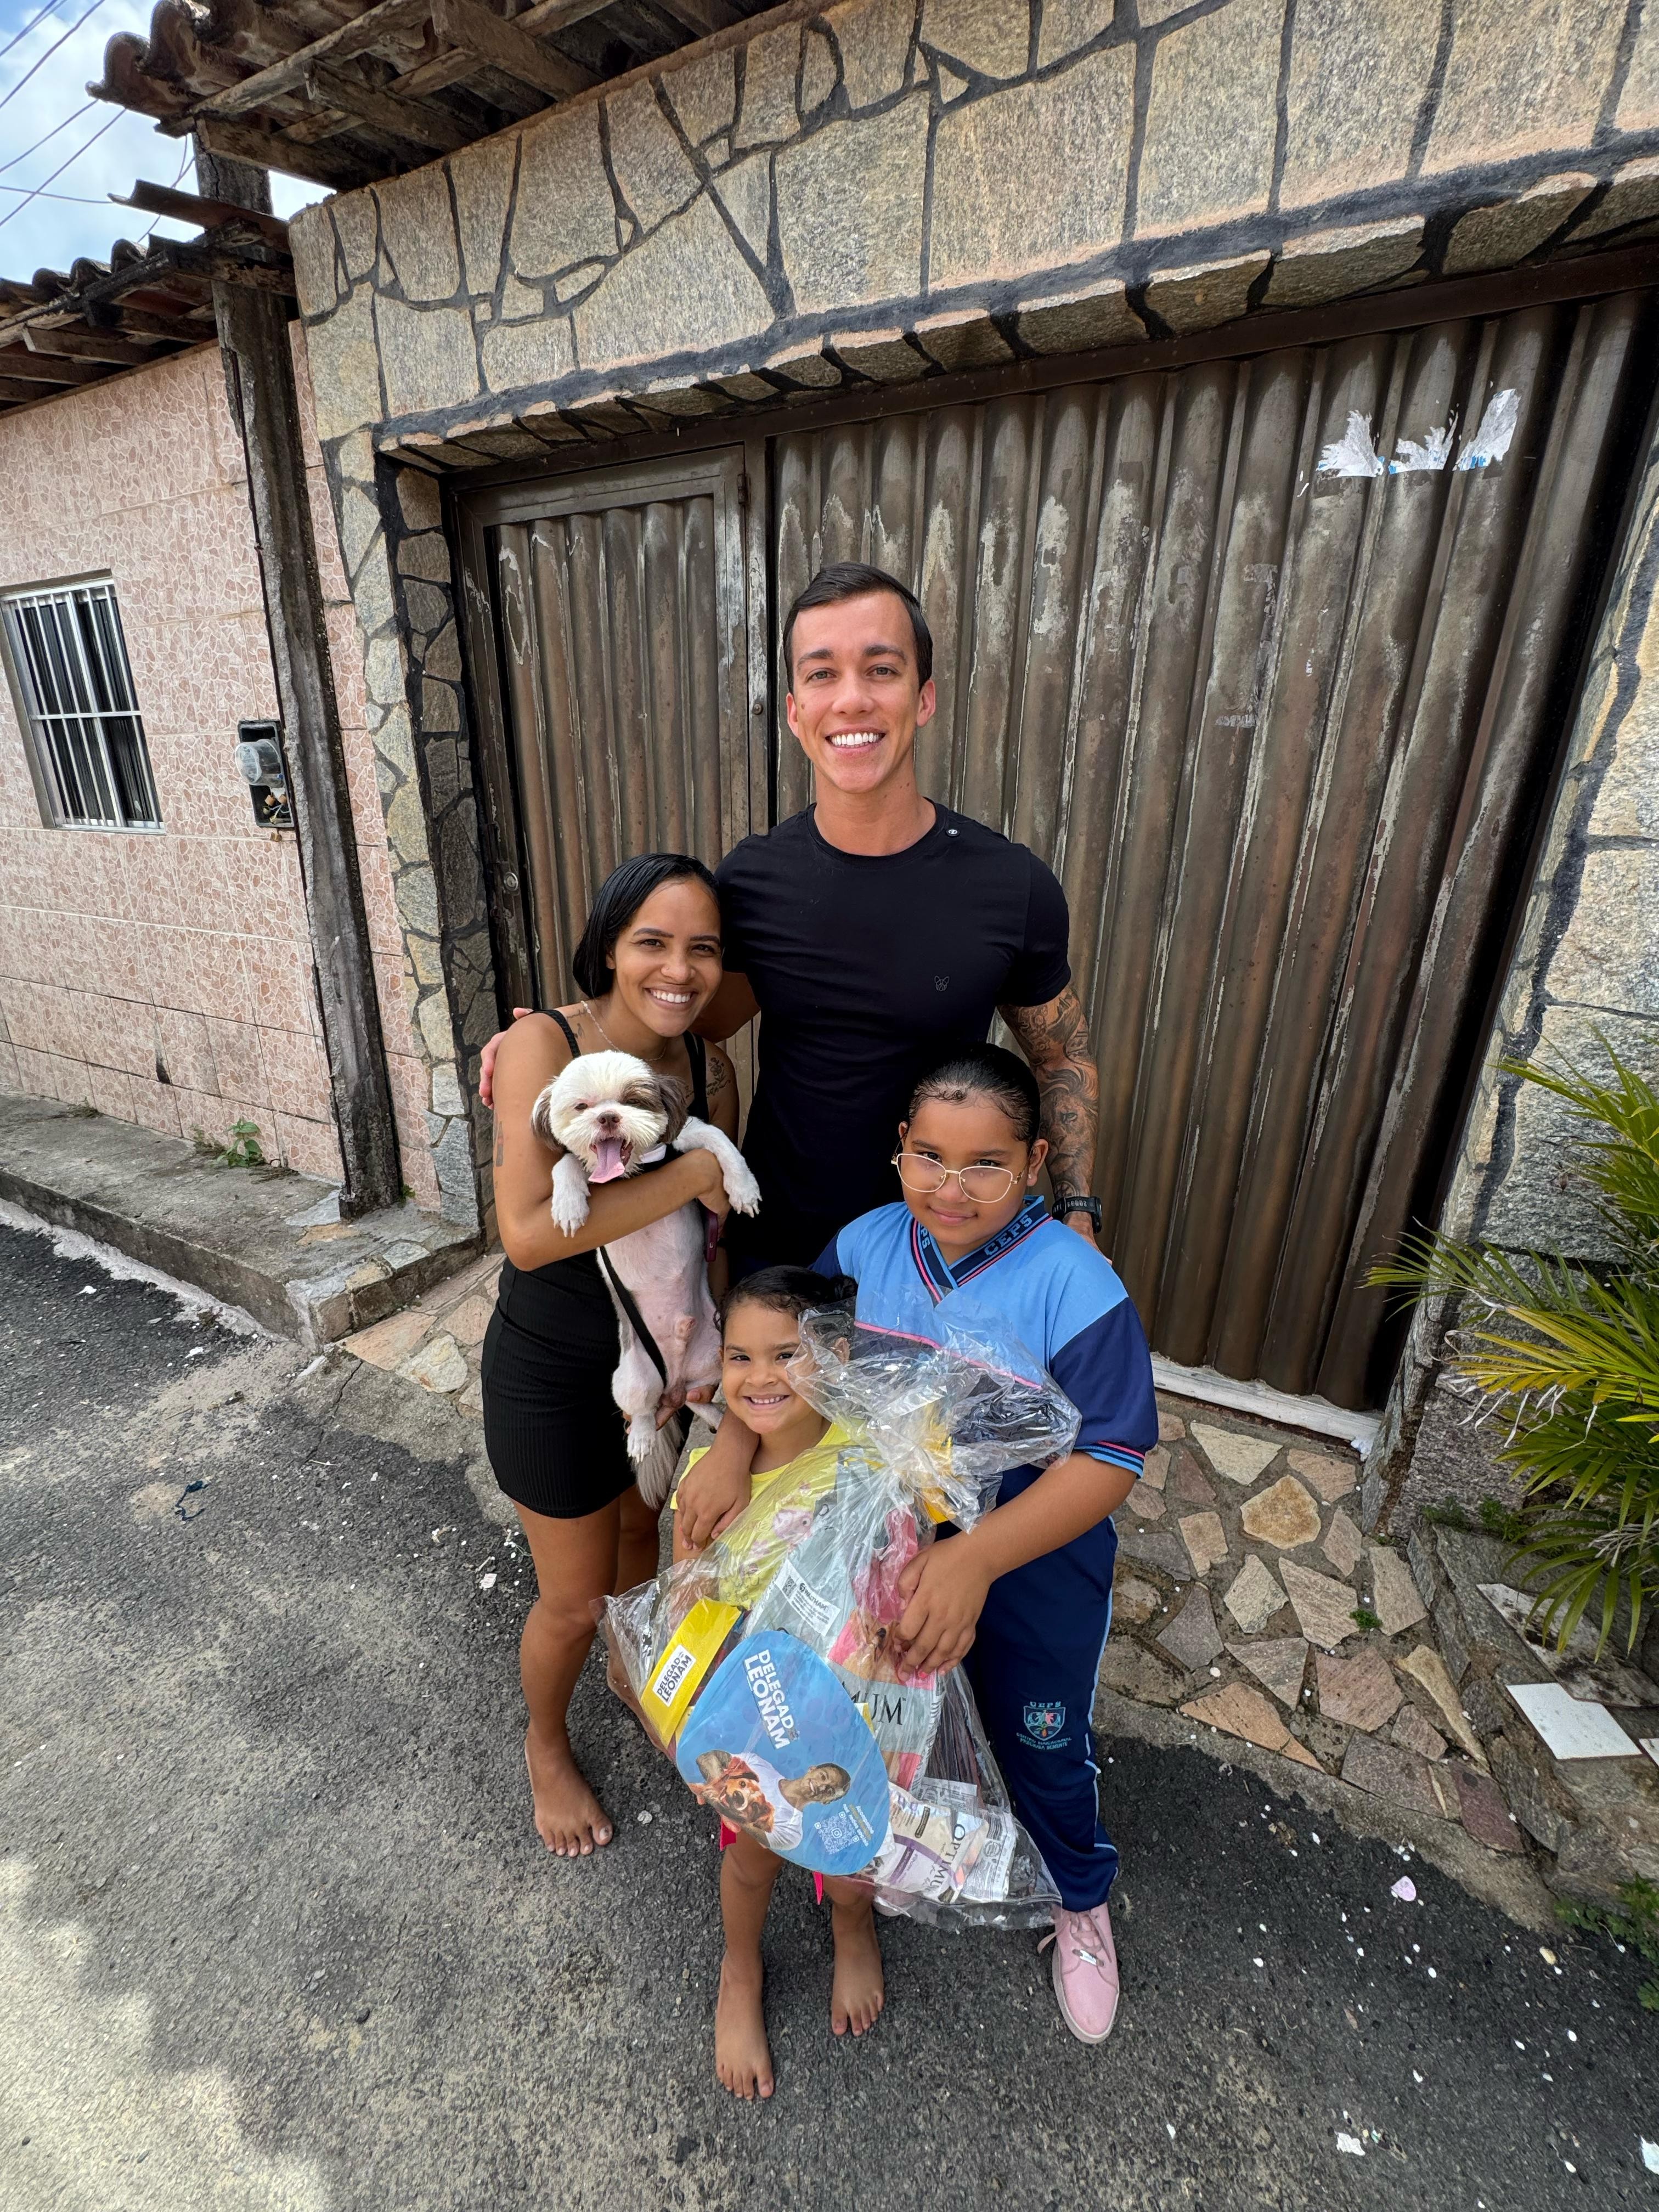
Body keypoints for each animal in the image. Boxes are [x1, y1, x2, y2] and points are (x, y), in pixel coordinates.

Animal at [535, 1048, 765, 1504]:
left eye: (632, 1100)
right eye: (581, 1107)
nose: (608, 1117)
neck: (636, 1170)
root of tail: (673, 1380)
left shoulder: (688, 1135)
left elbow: (721, 1143)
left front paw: (743, 1188)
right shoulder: (580, 1162)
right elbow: (567, 1161)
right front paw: (568, 1203)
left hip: (718, 1356)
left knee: (698, 1398)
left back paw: (716, 1415)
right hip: (632, 1379)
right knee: (644, 1410)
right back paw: (642, 1437)